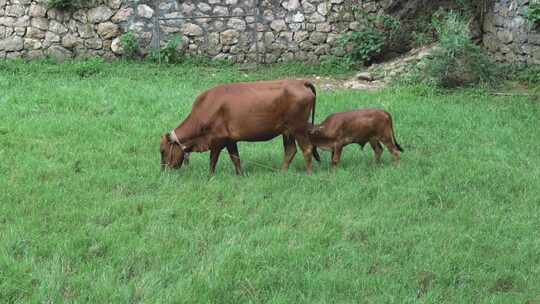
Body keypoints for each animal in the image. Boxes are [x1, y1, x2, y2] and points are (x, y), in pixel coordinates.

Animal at [162, 79, 318, 175]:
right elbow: (235, 158)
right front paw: (240, 175)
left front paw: (210, 176)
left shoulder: (217, 139)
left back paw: (309, 173)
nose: (163, 171)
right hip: (287, 131)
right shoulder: (230, 140)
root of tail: (301, 82)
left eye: (162, 151)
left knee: (307, 149)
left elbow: (213, 160)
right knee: (290, 150)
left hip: (298, 128)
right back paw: (282, 172)